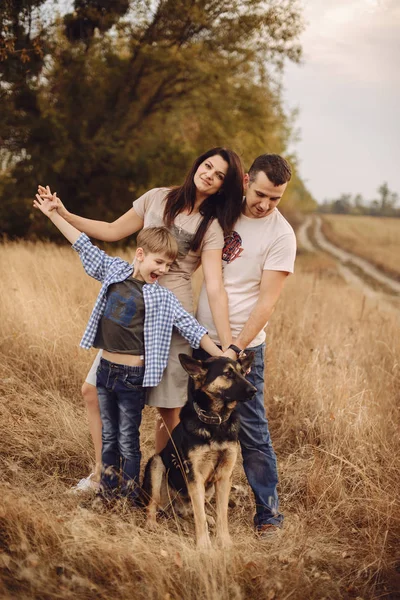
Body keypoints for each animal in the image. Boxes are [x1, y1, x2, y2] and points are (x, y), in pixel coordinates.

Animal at [144, 356, 256, 548]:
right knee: (154, 503)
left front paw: (224, 542)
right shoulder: (195, 476)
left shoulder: (224, 476)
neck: (216, 422)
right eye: (228, 373)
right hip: (157, 464)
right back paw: (151, 524)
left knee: (193, 510)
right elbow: (199, 516)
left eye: (243, 372)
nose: (254, 390)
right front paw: (204, 546)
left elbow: (222, 515)